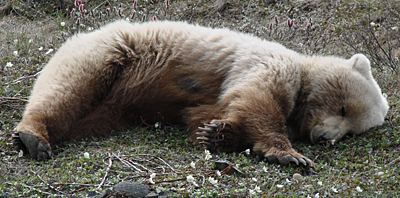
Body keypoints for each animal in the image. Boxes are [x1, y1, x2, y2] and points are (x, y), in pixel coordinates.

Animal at [10, 20, 390, 166]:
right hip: (111, 53)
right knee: (66, 88)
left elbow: (204, 114)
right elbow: (258, 102)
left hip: (112, 109)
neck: (301, 68)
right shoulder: (266, 64)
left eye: (351, 132)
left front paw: (217, 134)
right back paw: (33, 136)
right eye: (343, 108)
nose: (324, 138)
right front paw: (290, 155)